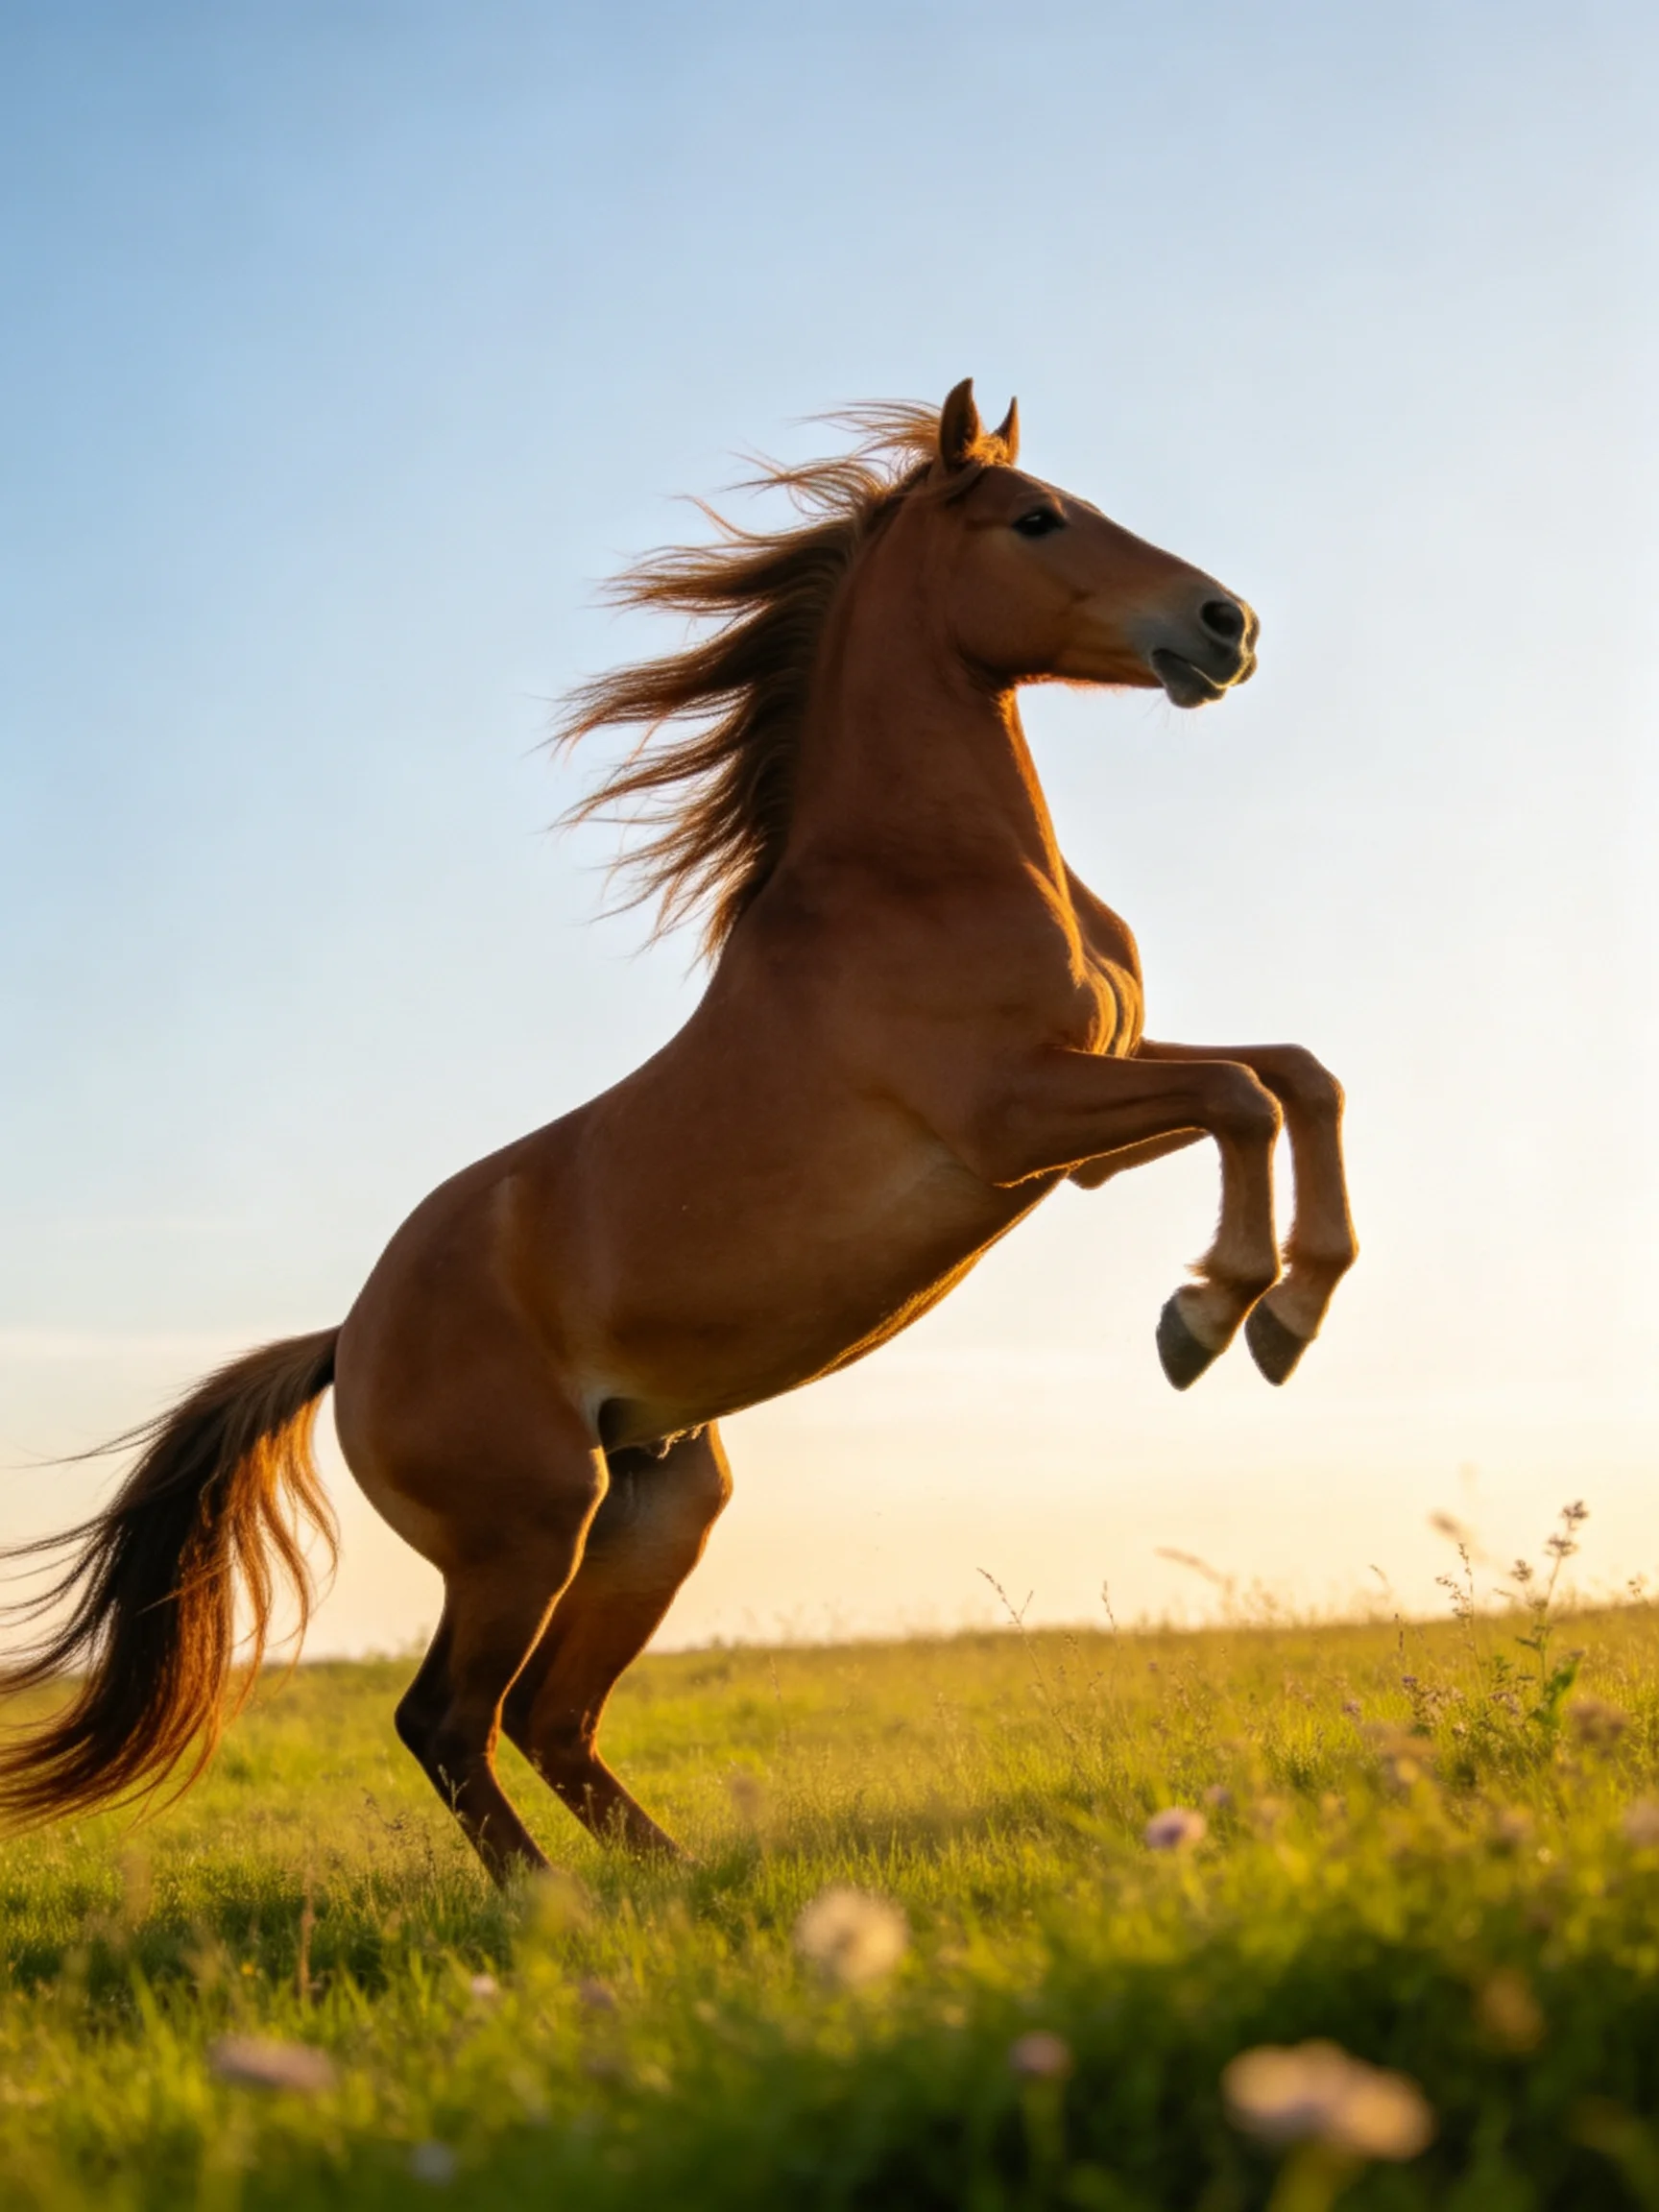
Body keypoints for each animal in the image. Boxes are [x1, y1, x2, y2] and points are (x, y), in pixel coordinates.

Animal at [0, 381, 1356, 1879]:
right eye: (1038, 518)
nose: (1226, 624)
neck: (923, 874)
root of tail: (347, 1342)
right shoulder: (1014, 1116)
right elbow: (1244, 1095)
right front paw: (1215, 1319)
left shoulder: (1089, 1132)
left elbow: (1297, 1077)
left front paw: (1282, 1312)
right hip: (524, 1534)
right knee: (447, 1718)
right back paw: (555, 1907)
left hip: (654, 1510)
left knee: (550, 1716)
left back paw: (673, 1882)